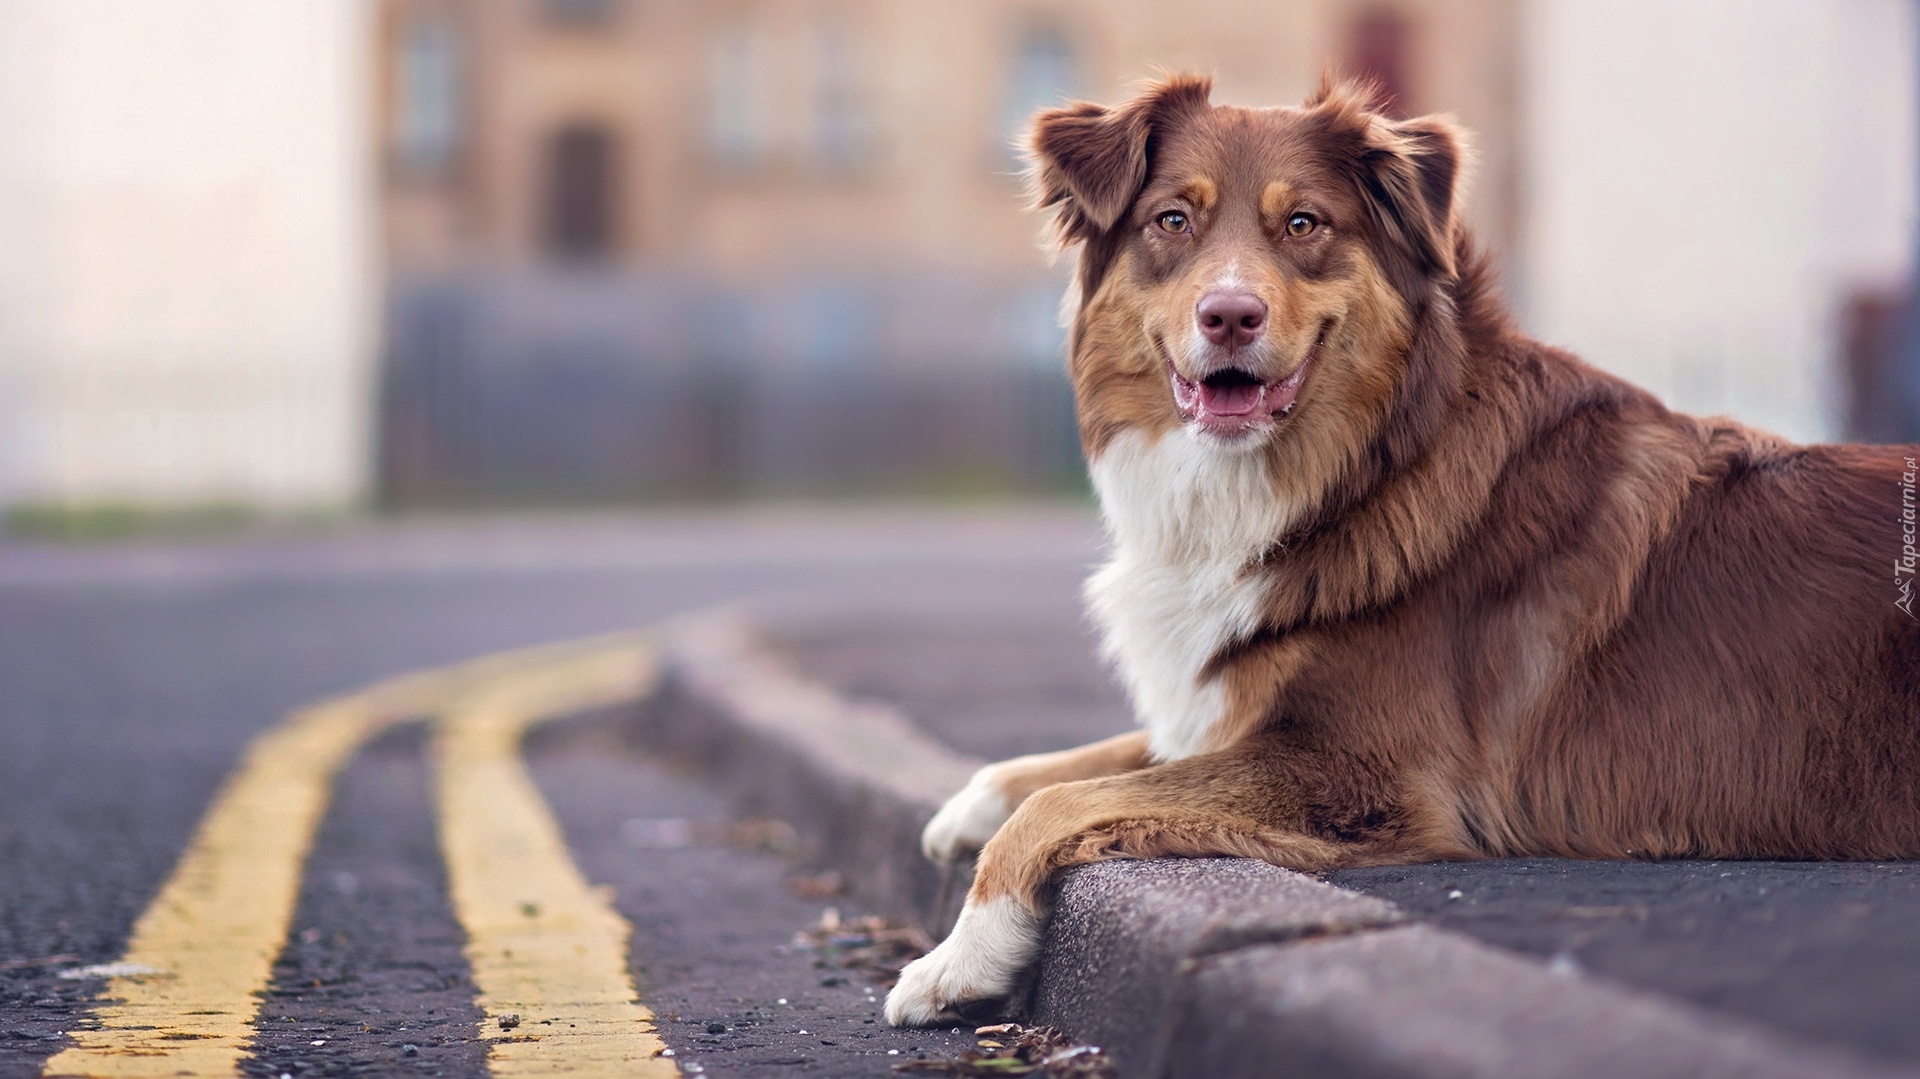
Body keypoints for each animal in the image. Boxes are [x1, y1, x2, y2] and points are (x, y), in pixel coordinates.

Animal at [883, 75, 1920, 1021]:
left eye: (1304, 224)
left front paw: (959, 955)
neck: (1365, 470)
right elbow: (1080, 763)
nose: (1230, 315)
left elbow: (1065, 802)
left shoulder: (1362, 769)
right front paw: (962, 808)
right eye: (1173, 219)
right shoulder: (1233, 715)